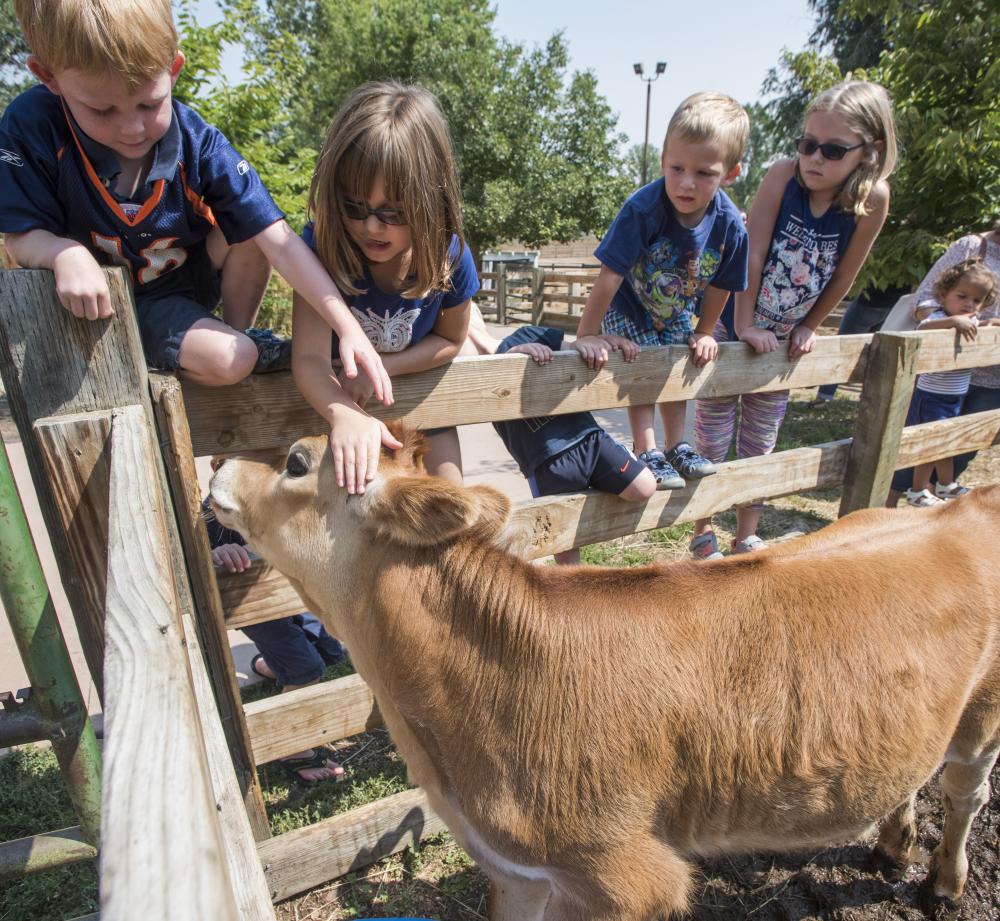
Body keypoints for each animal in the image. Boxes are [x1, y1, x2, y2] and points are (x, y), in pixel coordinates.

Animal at [211, 432, 1000, 920]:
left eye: (294, 459)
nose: (217, 463)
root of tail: (968, 502)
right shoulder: (518, 869)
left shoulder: (626, 876)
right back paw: (892, 841)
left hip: (985, 715)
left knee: (965, 789)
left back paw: (943, 883)